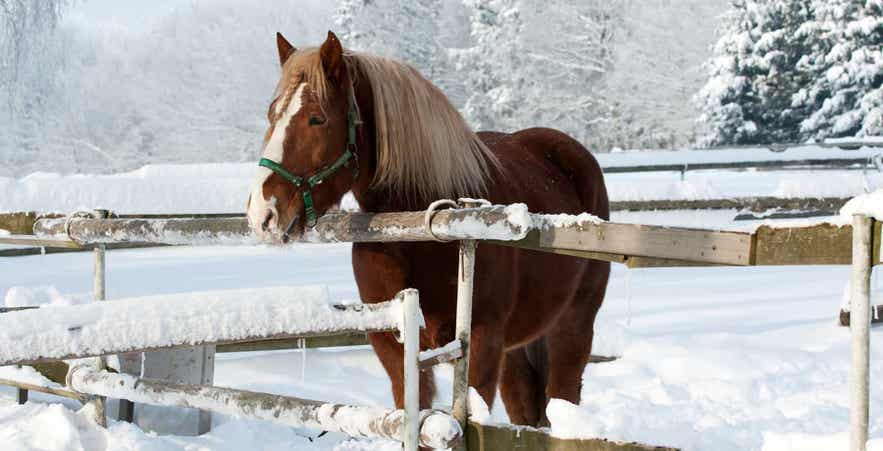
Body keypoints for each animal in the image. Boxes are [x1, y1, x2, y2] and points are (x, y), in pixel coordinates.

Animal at [246, 31, 610, 427]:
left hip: (572, 326)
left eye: (317, 119)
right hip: (517, 347)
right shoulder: (394, 347)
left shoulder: (481, 344)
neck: (415, 234)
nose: (263, 212)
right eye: (272, 114)